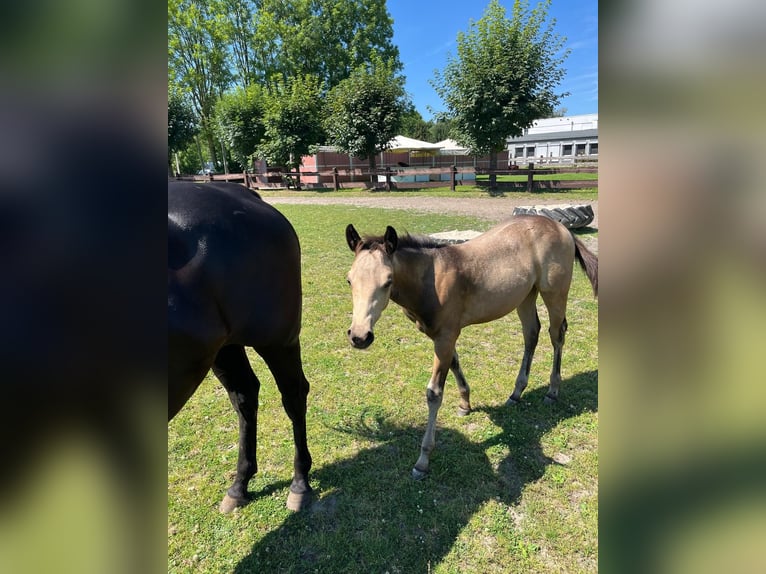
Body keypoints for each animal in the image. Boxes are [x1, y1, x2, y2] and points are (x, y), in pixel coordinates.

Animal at [169, 181, 312, 512]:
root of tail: (246, 195)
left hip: (277, 340)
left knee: (293, 394)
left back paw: (300, 483)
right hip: (225, 348)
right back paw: (239, 485)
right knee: (245, 395)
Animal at [344, 215, 598, 479]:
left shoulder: (446, 336)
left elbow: (434, 393)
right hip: (526, 296)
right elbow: (455, 364)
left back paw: (552, 390)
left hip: (555, 294)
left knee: (556, 335)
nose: (360, 336)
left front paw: (422, 461)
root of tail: (562, 228)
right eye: (349, 279)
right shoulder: (443, 336)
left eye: (388, 281)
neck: (430, 280)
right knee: (531, 334)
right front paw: (465, 404)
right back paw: (516, 393)